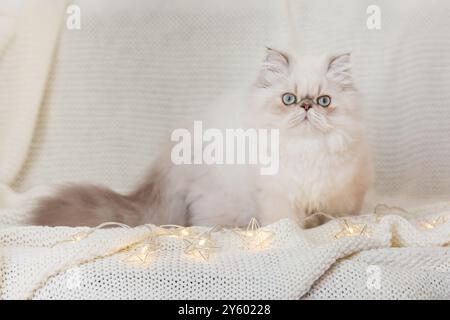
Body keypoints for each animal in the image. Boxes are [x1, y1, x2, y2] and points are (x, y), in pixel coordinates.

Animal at [29, 48, 372, 228]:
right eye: (289, 99)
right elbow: (286, 223)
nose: (306, 106)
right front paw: (294, 234)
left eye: (324, 101)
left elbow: (334, 217)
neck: (307, 149)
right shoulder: (277, 197)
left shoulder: (341, 195)